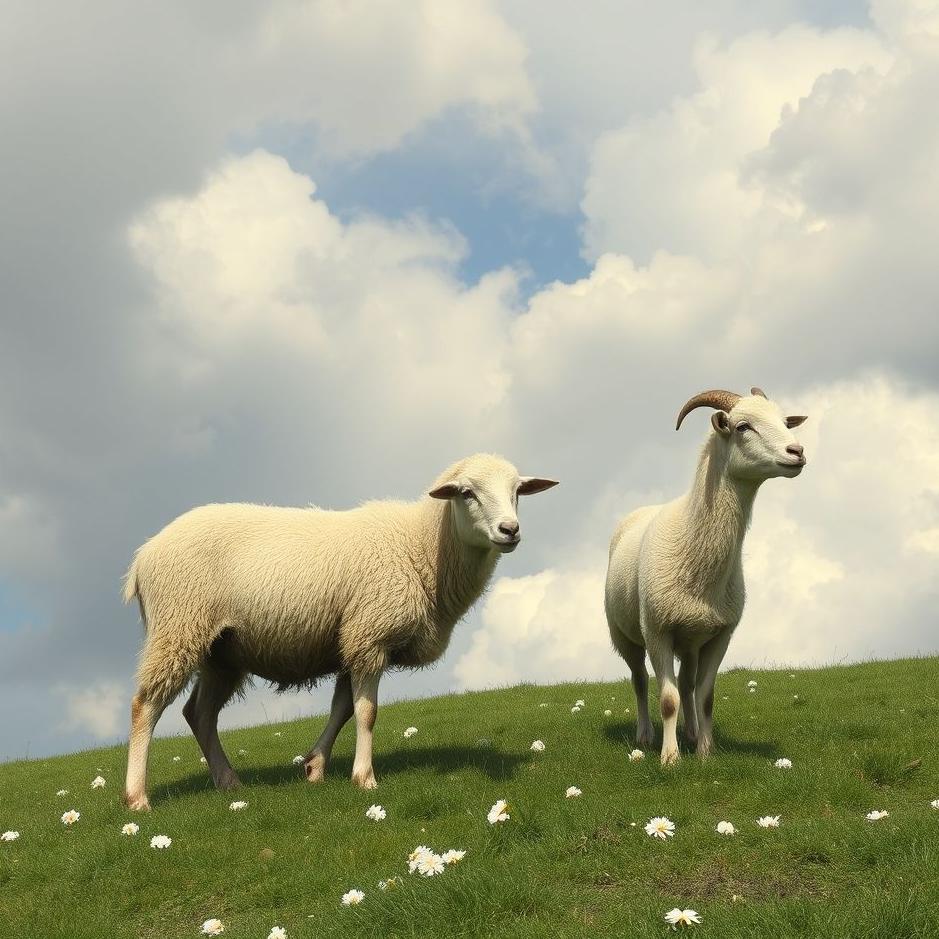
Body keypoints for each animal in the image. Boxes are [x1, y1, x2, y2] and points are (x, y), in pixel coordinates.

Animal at [120, 453, 557, 810]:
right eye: (467, 493)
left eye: (517, 491)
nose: (509, 529)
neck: (422, 546)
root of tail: (143, 556)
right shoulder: (370, 634)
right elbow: (367, 712)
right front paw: (364, 777)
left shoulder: (352, 639)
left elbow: (342, 709)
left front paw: (315, 766)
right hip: (179, 627)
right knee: (147, 706)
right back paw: (137, 796)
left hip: (221, 651)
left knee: (199, 713)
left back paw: (228, 782)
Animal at [604, 388, 807, 765]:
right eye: (743, 426)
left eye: (785, 422)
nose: (797, 452)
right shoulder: (657, 631)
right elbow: (667, 699)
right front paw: (670, 759)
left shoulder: (720, 635)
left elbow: (705, 696)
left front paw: (705, 752)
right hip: (624, 635)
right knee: (640, 680)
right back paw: (645, 735)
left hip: (692, 639)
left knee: (687, 684)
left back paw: (691, 732)